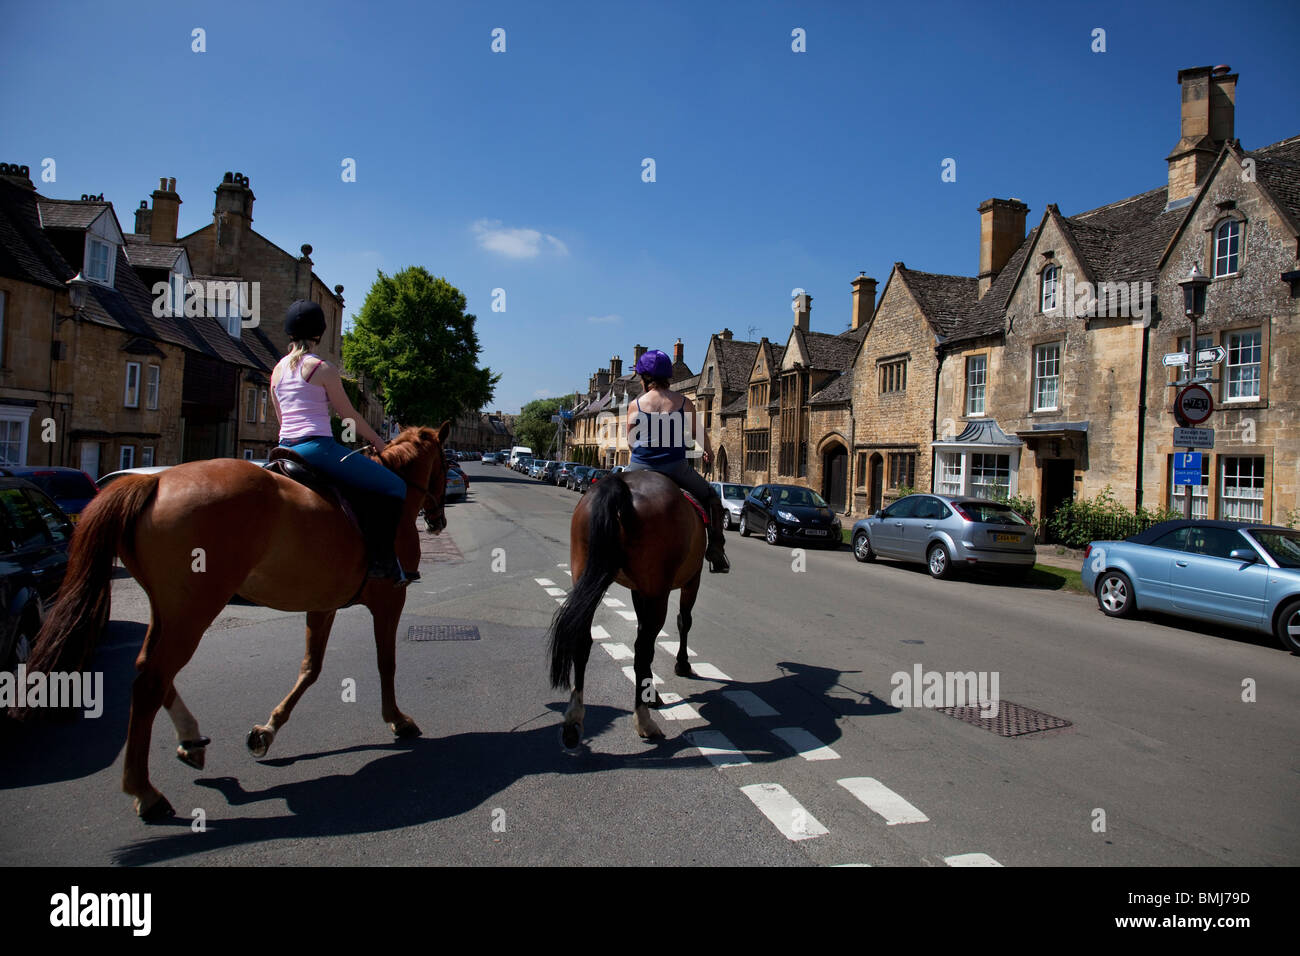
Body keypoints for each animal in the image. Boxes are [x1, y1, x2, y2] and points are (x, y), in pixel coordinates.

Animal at [21, 426, 452, 822]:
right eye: (446, 465)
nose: (438, 520)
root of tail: (155, 480)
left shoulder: (323, 604)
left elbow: (310, 669)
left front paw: (266, 731)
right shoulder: (390, 601)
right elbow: (385, 663)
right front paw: (397, 720)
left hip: (169, 609)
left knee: (149, 669)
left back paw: (189, 741)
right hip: (195, 609)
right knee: (150, 683)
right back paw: (145, 791)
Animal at [548, 470, 712, 749]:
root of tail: (620, 484)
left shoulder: (639, 589)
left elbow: (643, 627)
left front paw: (652, 691)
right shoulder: (693, 578)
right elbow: (684, 621)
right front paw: (681, 664)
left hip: (585, 573)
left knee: (584, 641)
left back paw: (573, 720)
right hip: (659, 591)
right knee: (642, 648)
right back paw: (644, 721)